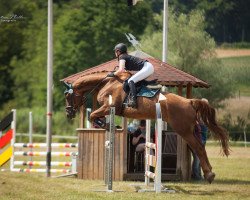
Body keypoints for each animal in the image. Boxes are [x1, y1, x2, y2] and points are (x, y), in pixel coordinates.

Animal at [63, 71, 229, 184]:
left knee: (198, 147)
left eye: (67, 96)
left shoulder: (109, 106)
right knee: (201, 146)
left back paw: (209, 175)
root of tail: (190, 102)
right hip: (191, 130)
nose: (68, 113)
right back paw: (210, 172)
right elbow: (94, 116)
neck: (107, 83)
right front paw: (107, 124)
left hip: (183, 130)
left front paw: (108, 125)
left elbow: (92, 116)